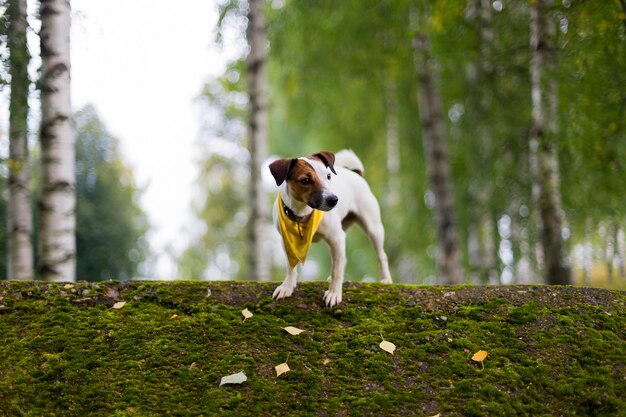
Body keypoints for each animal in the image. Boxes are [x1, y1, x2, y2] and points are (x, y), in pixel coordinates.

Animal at [266, 150, 390, 306]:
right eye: (306, 180)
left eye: (329, 176)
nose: (334, 200)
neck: (302, 214)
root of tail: (356, 174)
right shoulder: (287, 241)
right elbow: (291, 267)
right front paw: (287, 287)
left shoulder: (336, 237)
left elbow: (336, 270)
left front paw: (334, 293)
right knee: (342, 259)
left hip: (373, 228)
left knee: (381, 255)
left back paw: (386, 279)